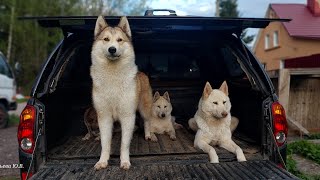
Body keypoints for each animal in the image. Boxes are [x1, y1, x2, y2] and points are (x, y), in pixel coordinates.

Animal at [91, 15, 152, 170]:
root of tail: (142, 73)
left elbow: (124, 144)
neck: (113, 75)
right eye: (106, 39)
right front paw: (102, 161)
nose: (112, 49)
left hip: (144, 108)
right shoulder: (104, 116)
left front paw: (124, 161)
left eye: (120, 40)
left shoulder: (127, 116)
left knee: (147, 121)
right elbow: (105, 143)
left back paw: (148, 135)